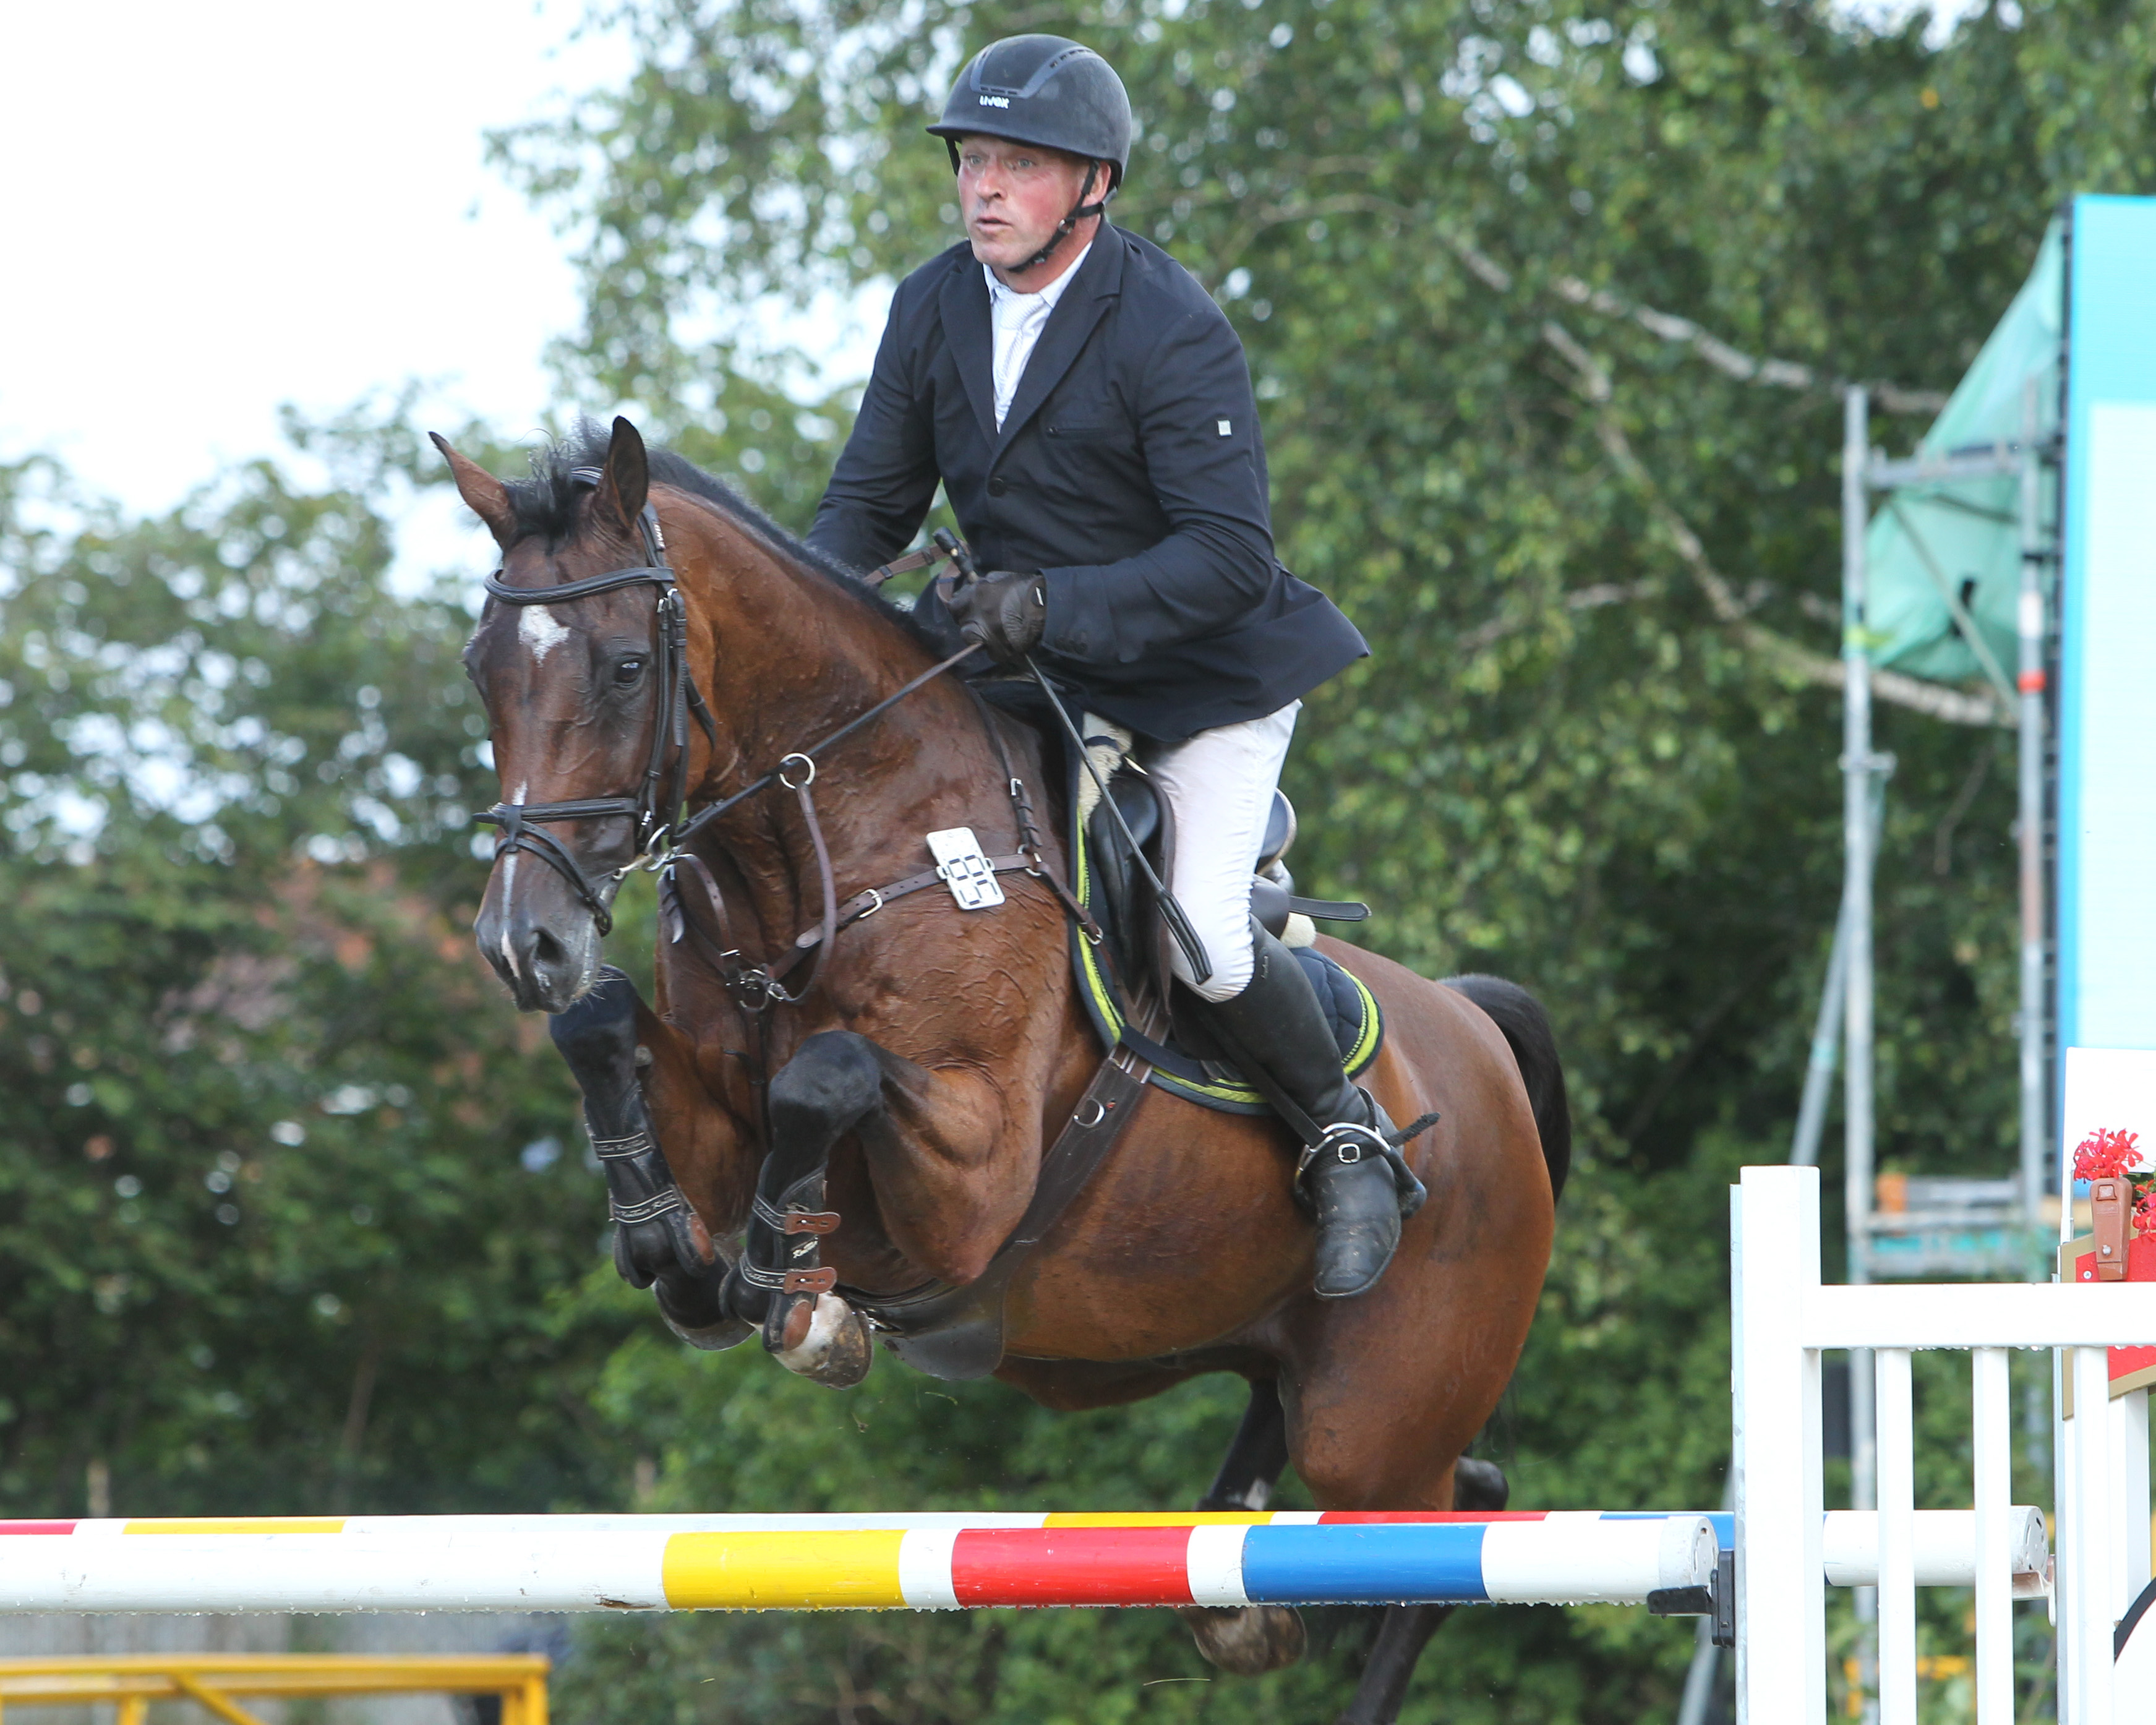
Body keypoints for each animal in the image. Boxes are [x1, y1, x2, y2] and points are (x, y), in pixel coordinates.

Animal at [433, 418, 1569, 1725]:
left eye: (625, 667)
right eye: (480, 670)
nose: (523, 943)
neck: (829, 848)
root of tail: (1477, 1028)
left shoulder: (973, 1176)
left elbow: (826, 1075)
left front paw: (790, 1284)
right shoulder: (718, 1114)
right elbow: (605, 1027)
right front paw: (673, 1248)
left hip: (1380, 1420)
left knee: (1460, 1514)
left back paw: (1357, 1194)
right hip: (1273, 1351)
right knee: (1291, 1478)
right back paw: (1236, 1597)